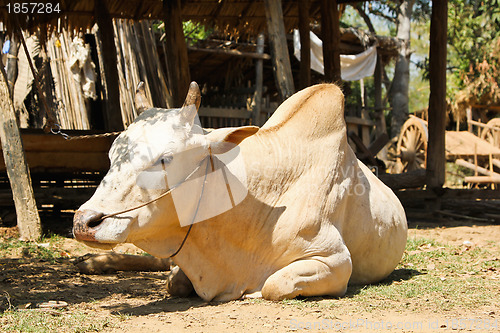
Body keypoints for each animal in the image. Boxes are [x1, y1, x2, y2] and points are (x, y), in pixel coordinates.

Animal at [75, 82, 410, 300]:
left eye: (164, 159)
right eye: (112, 154)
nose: (83, 222)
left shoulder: (336, 260)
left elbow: (273, 286)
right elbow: (173, 282)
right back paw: (92, 262)